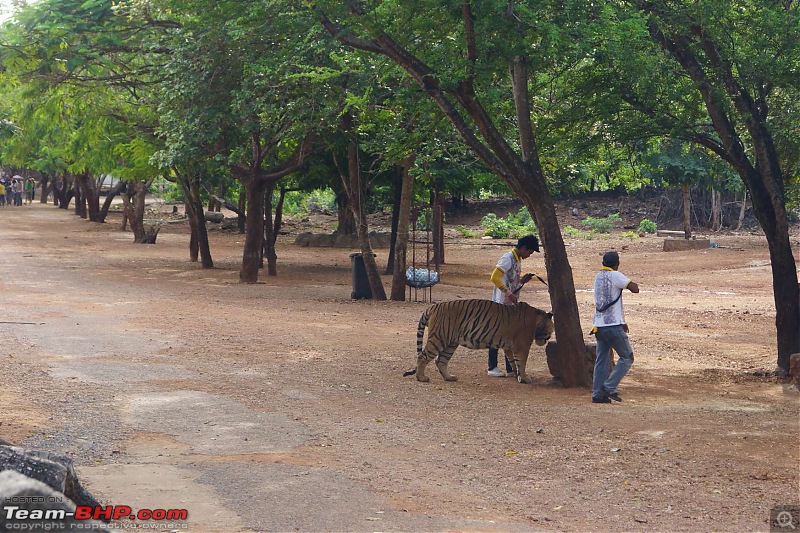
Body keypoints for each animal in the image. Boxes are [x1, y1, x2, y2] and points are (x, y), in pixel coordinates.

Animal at [404, 300, 552, 382]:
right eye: (550, 332)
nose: (547, 340)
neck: (537, 320)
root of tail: (432, 307)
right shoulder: (522, 346)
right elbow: (522, 363)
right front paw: (525, 378)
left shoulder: (509, 347)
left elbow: (513, 362)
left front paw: (517, 375)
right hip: (439, 338)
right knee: (422, 357)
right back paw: (421, 378)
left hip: (450, 343)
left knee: (441, 361)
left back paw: (449, 377)